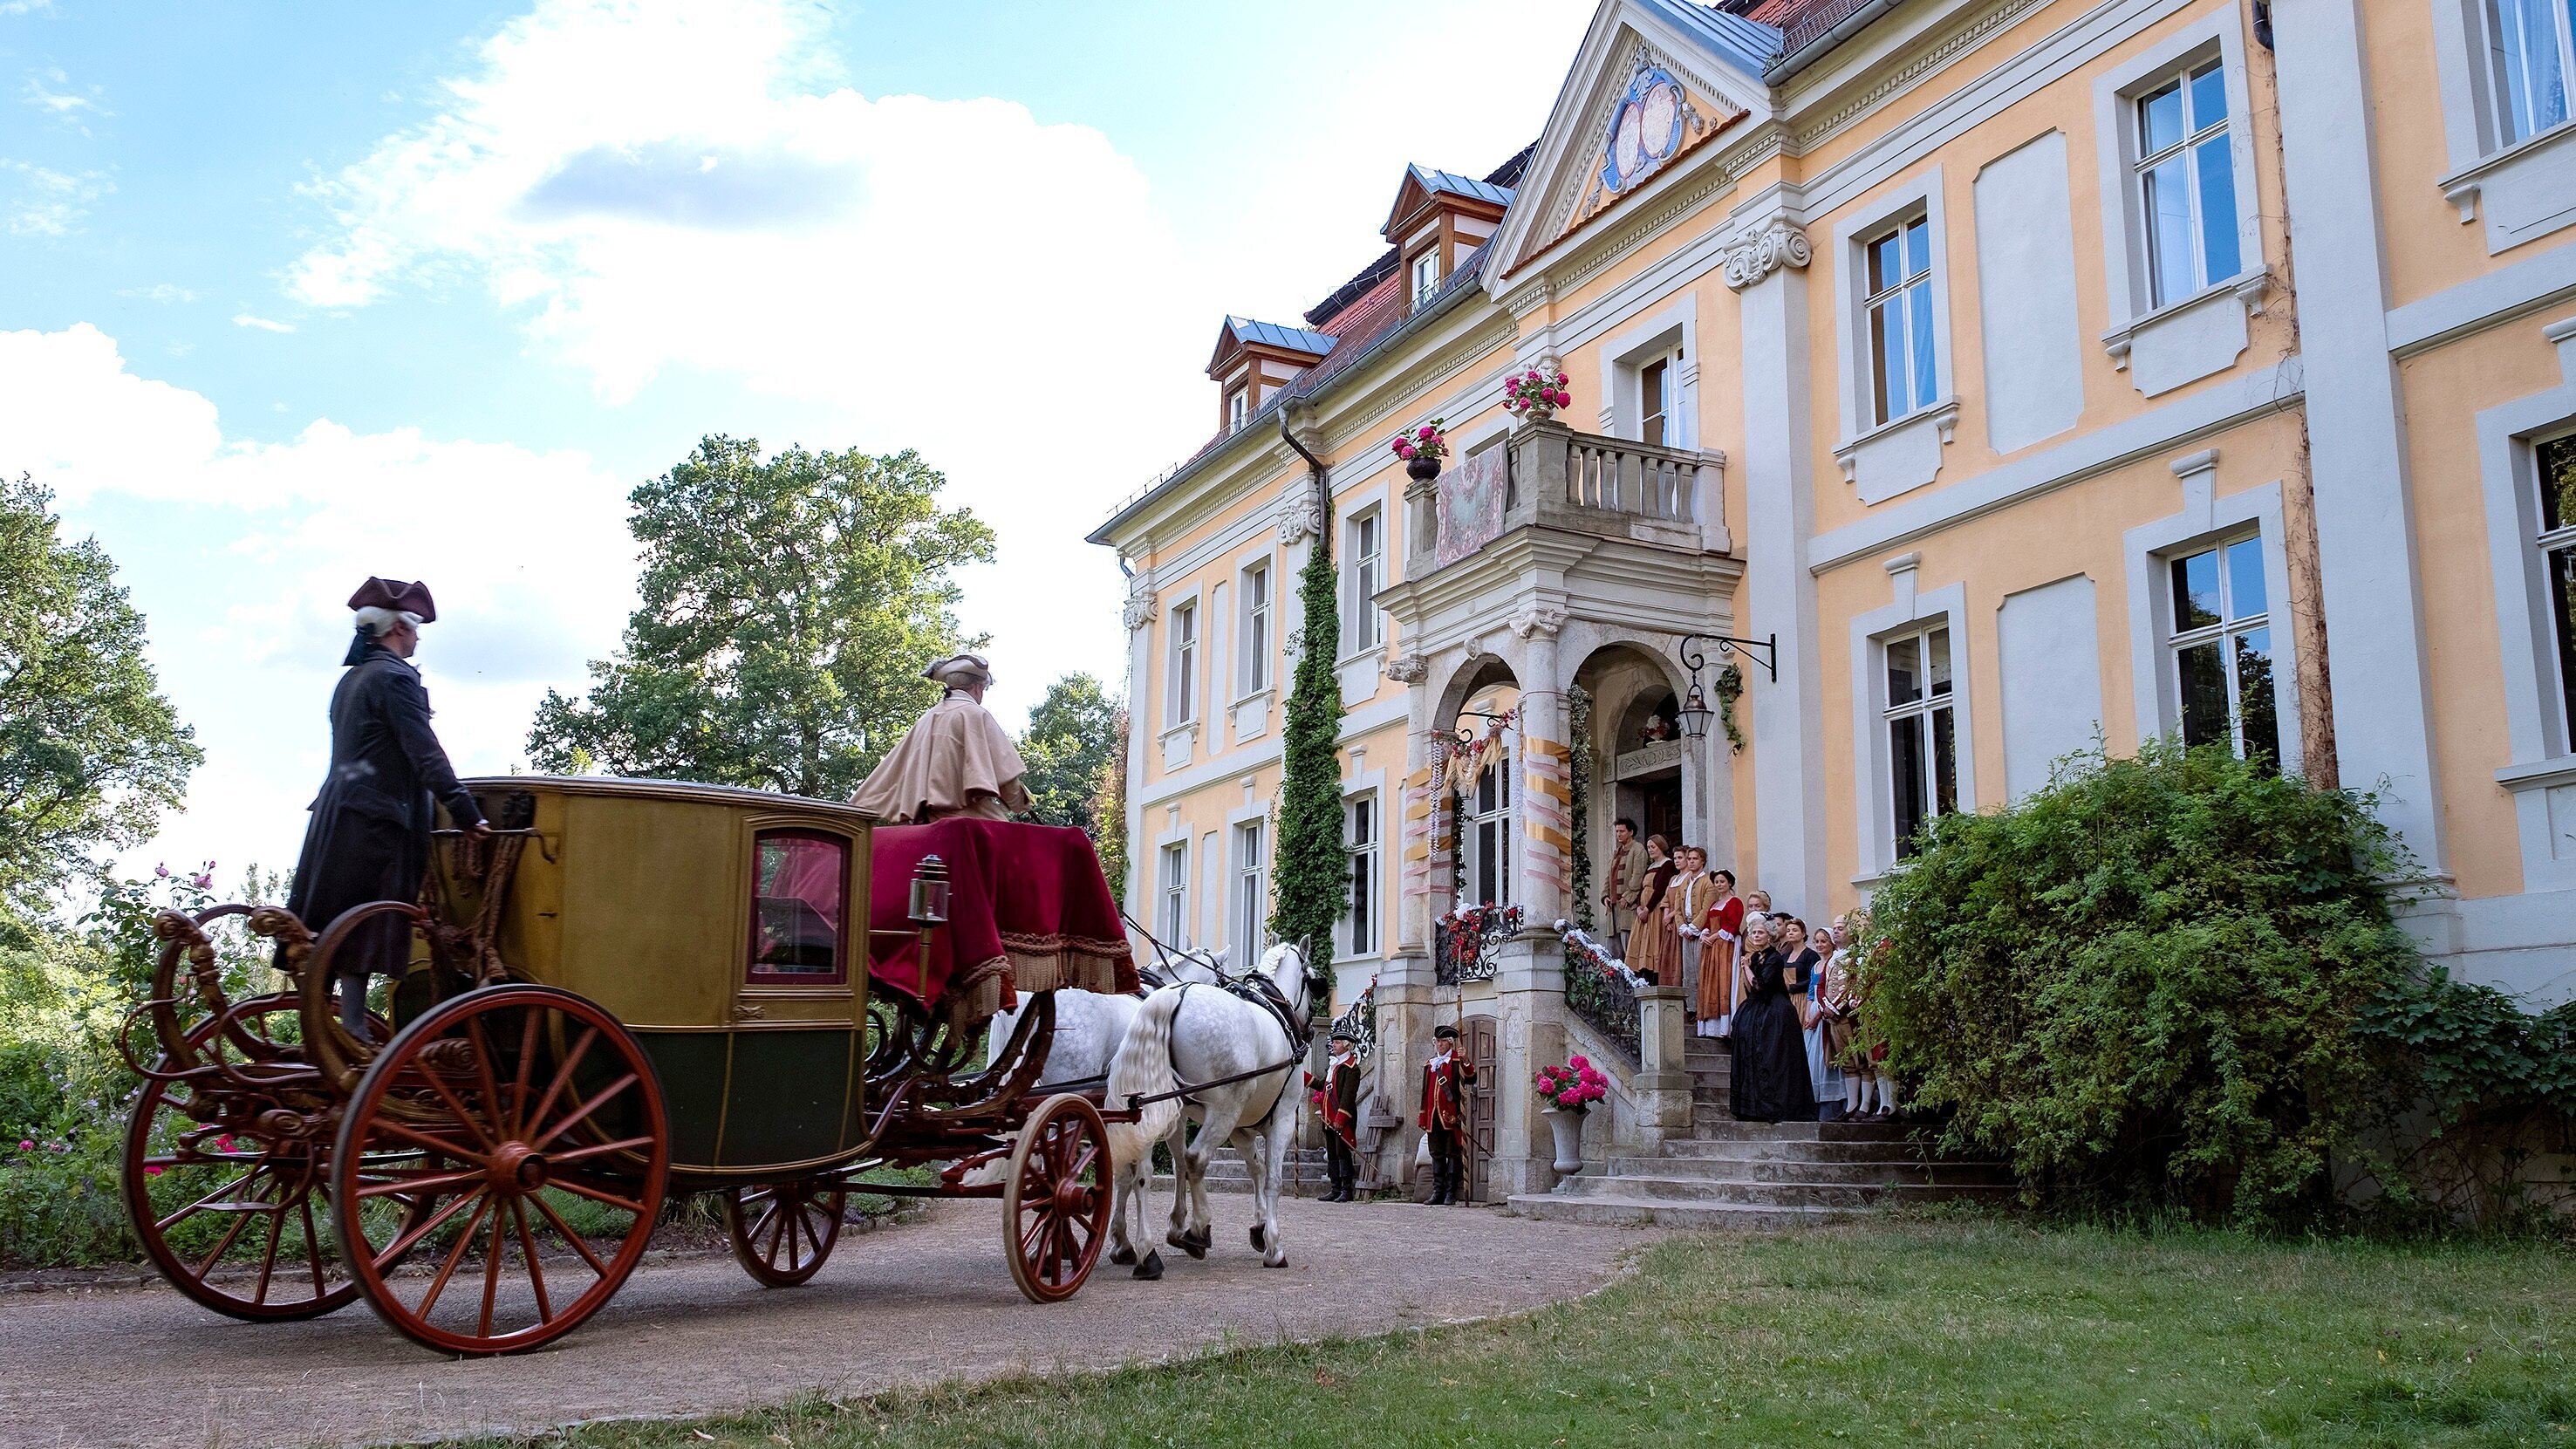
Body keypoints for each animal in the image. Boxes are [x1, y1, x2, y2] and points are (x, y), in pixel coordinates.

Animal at [1102, 938, 1318, 1263]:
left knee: (1145, 1167)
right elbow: (1272, 1179)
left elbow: (1255, 1168)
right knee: (1195, 1158)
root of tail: (1175, 995)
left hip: (1155, 1109)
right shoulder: (1280, 1118)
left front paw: (1259, 1226)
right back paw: (1196, 1229)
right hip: (1222, 1111)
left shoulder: (1239, 1128)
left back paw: (1143, 1246)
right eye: (1312, 978)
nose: (1311, 1028)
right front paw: (1273, 1243)